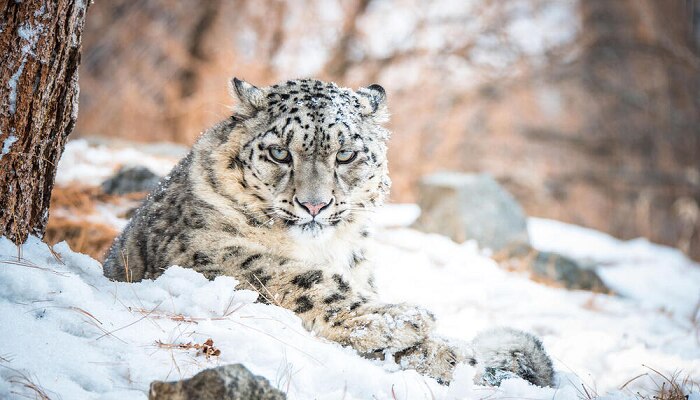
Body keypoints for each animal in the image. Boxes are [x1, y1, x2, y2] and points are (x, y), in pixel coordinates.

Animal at [102, 78, 552, 388]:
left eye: (346, 154)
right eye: (279, 153)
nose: (314, 205)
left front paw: (447, 354)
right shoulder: (200, 251)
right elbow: (294, 276)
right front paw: (406, 319)